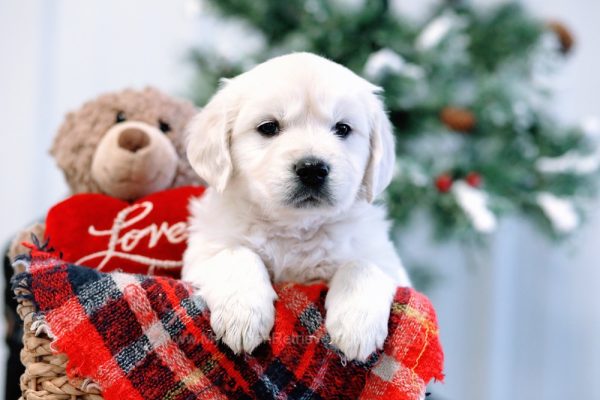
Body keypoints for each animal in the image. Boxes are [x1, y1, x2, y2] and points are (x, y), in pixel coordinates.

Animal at [184, 51, 408, 360]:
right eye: (268, 127)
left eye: (343, 128)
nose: (313, 169)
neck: (296, 229)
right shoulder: (203, 250)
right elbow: (235, 253)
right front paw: (242, 315)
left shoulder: (389, 262)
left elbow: (362, 265)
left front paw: (356, 328)